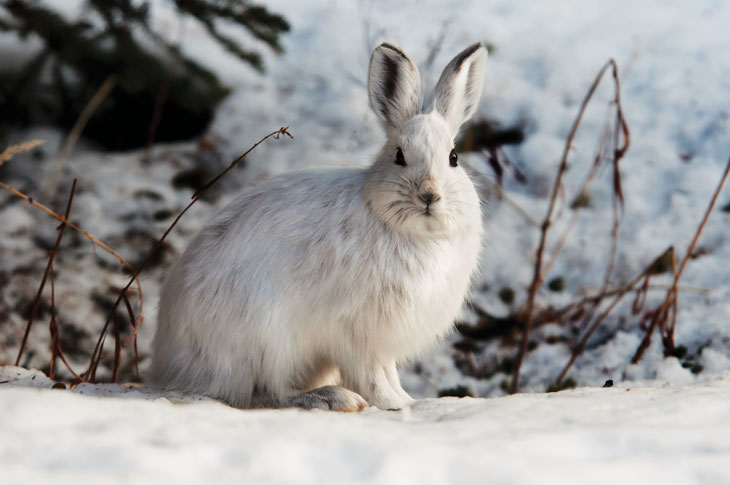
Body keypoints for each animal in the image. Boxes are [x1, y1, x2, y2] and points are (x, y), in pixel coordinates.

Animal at [149, 42, 488, 411]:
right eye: (399, 156)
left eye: (454, 158)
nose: (429, 195)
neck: (413, 233)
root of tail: (173, 366)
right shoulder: (358, 333)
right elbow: (372, 374)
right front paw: (393, 403)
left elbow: (387, 372)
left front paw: (406, 400)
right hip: (267, 339)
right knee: (268, 393)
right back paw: (332, 398)